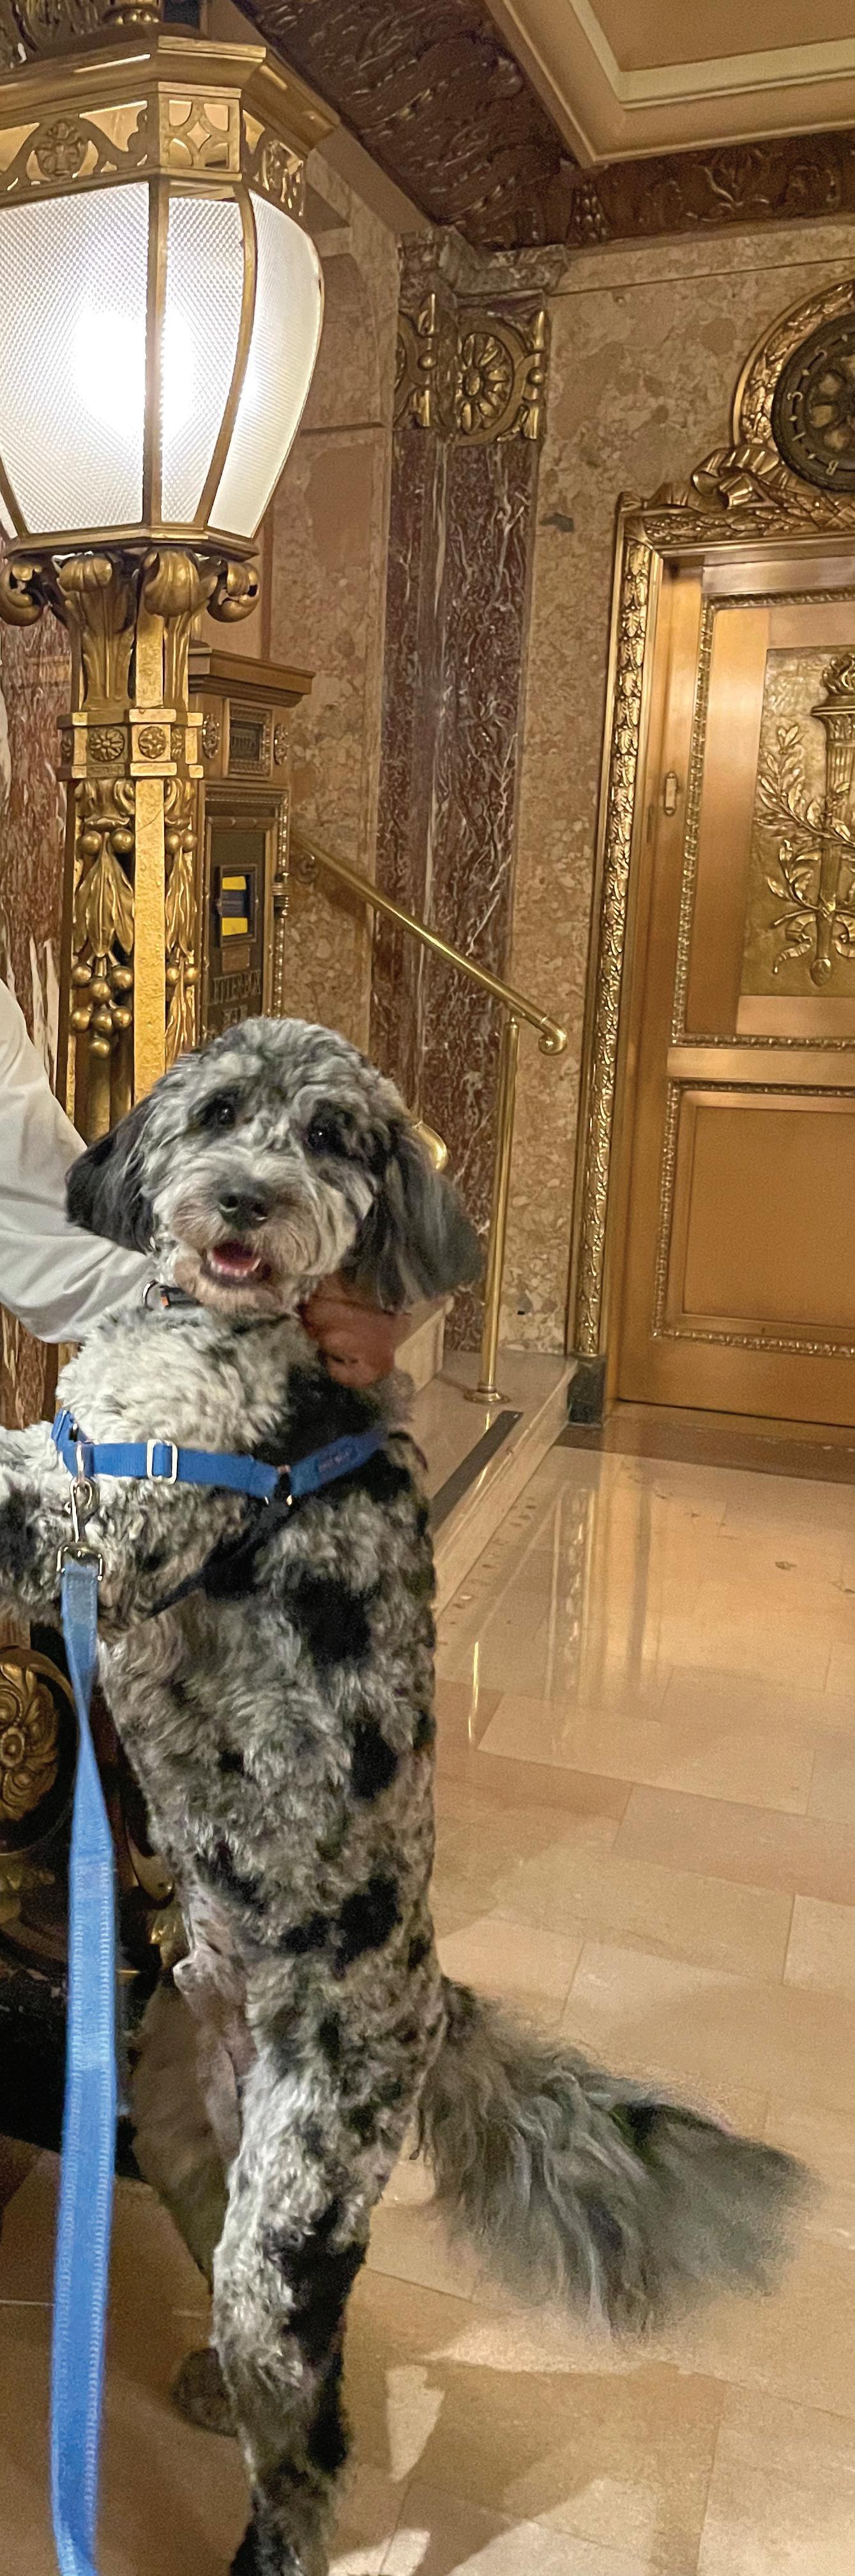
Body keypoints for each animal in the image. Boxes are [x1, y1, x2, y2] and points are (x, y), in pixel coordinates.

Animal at [0, 1016, 805, 2576]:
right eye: (218, 1114)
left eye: (331, 1139)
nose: (246, 1203)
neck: (209, 1328)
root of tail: (436, 2000)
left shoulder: (124, 1526)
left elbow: (23, 1496)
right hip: (185, 2135)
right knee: (299, 2361)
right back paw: (212, 2390)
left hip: (296, 2204)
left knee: (312, 2445)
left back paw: (268, 2530)